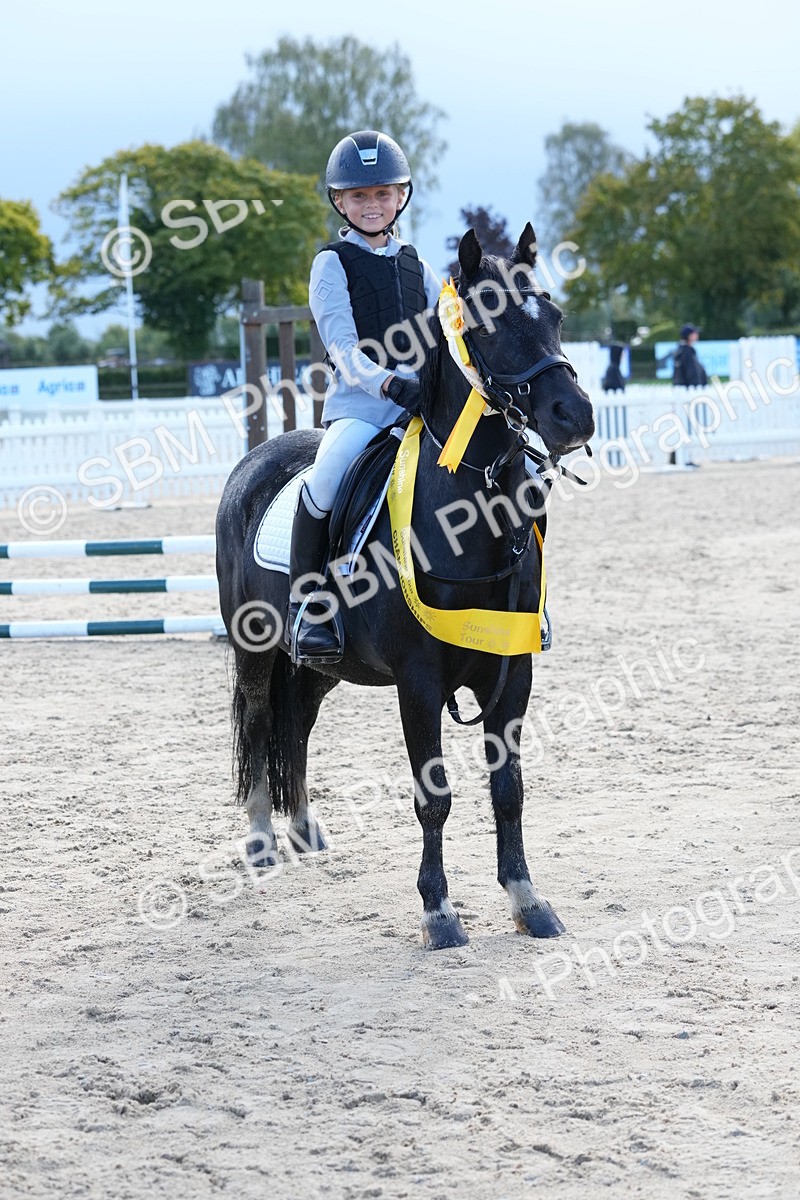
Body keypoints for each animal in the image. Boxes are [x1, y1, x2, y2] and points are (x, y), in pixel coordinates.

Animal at [215, 223, 595, 949]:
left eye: (556, 316)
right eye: (491, 323)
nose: (576, 415)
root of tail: (252, 461)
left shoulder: (513, 676)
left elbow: (509, 790)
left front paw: (528, 900)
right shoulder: (419, 683)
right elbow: (434, 796)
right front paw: (439, 913)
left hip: (321, 667)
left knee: (297, 721)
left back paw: (304, 830)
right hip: (255, 648)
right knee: (257, 718)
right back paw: (261, 839)